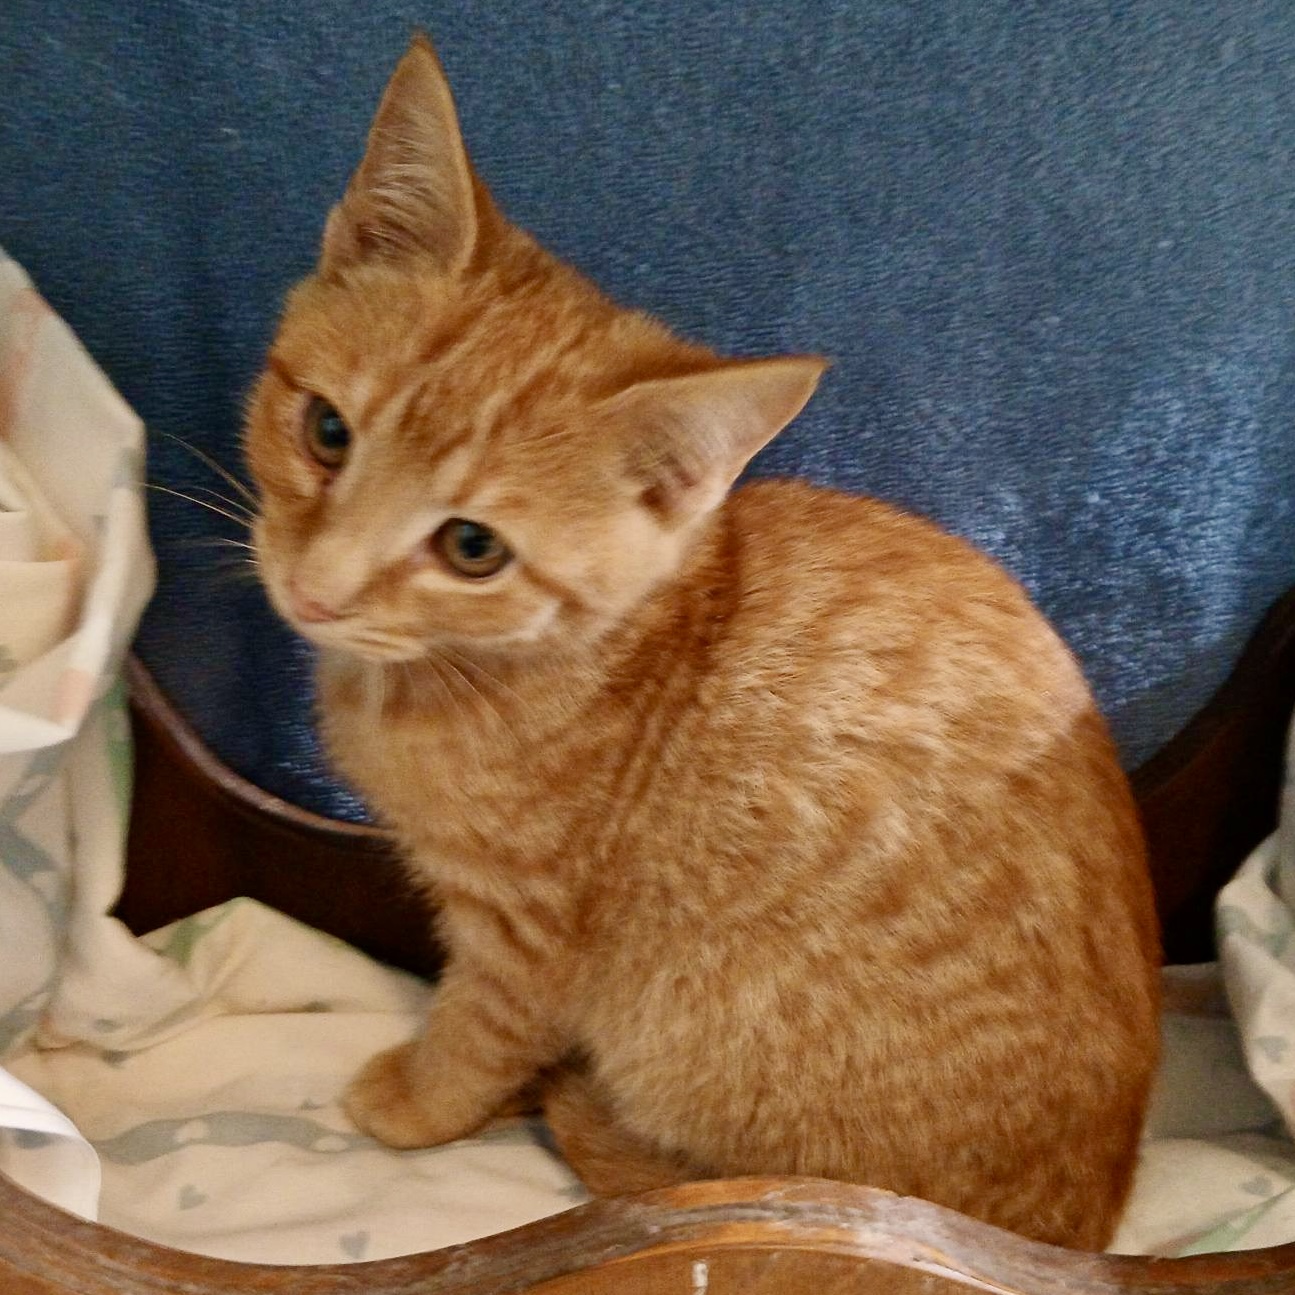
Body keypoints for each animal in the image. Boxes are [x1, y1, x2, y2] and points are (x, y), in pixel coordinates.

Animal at [244, 34, 1160, 1250]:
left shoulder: (527, 929)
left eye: (473, 546)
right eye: (326, 431)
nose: (317, 587)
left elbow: (480, 1027)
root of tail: (1064, 1227)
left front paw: (418, 1099)